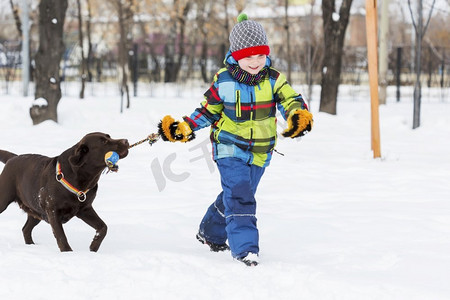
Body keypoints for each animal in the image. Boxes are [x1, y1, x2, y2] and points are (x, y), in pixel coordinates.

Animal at [0, 132, 128, 252]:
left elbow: (103, 227)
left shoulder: (85, 209)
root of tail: (12, 158)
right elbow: (61, 236)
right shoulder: (53, 212)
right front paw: (68, 253)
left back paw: (31, 246)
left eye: (109, 136)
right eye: (104, 142)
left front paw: (93, 247)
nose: (126, 140)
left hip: (36, 210)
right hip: (5, 200)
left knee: (25, 229)